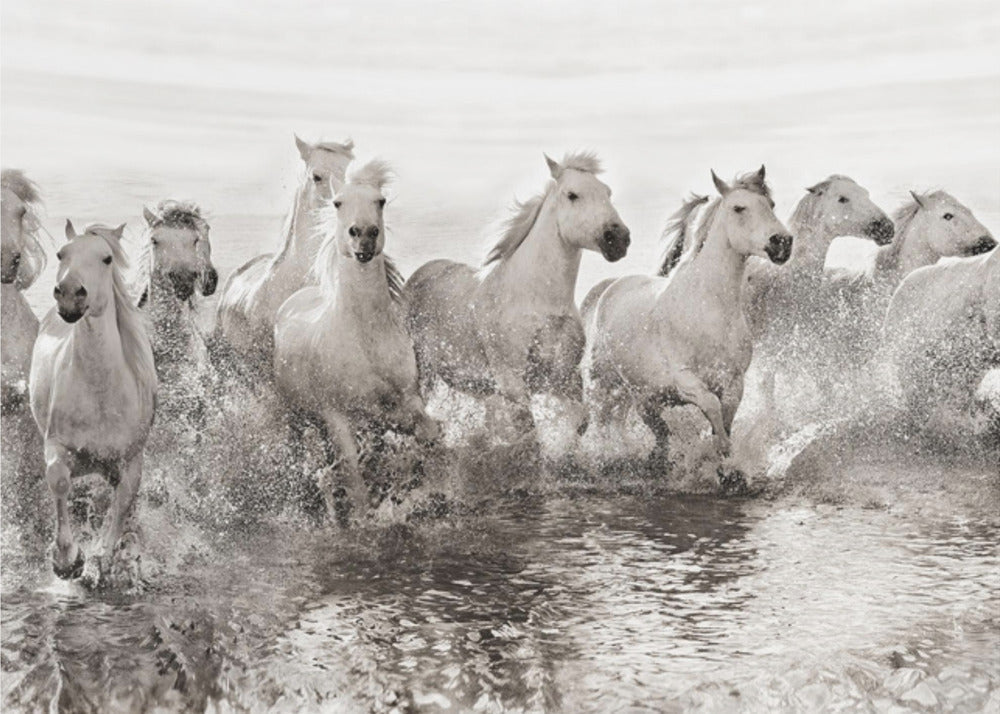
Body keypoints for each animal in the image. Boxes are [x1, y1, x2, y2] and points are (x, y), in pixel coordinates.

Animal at [29, 221, 157, 584]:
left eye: (106, 259)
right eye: (62, 254)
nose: (71, 294)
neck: (100, 394)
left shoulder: (131, 460)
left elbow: (123, 503)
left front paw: (102, 555)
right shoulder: (58, 445)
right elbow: (58, 481)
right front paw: (67, 560)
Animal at [274, 160, 438, 519]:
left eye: (381, 201)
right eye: (338, 203)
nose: (363, 234)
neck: (365, 338)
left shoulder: (407, 397)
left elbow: (426, 432)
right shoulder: (336, 416)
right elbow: (353, 474)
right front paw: (363, 516)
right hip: (296, 417)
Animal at [405, 152, 630, 444]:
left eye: (607, 192)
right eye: (572, 195)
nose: (618, 238)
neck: (538, 300)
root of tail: (420, 273)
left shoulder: (563, 377)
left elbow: (580, 419)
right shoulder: (511, 381)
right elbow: (527, 429)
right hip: (423, 371)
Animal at [581, 168, 792, 469]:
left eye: (771, 205)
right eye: (739, 207)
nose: (783, 242)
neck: (709, 310)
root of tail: (609, 287)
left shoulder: (734, 380)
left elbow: (725, 417)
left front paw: (726, 464)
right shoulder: (685, 379)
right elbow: (712, 406)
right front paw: (721, 452)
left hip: (642, 395)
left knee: (653, 430)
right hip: (604, 383)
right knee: (602, 418)